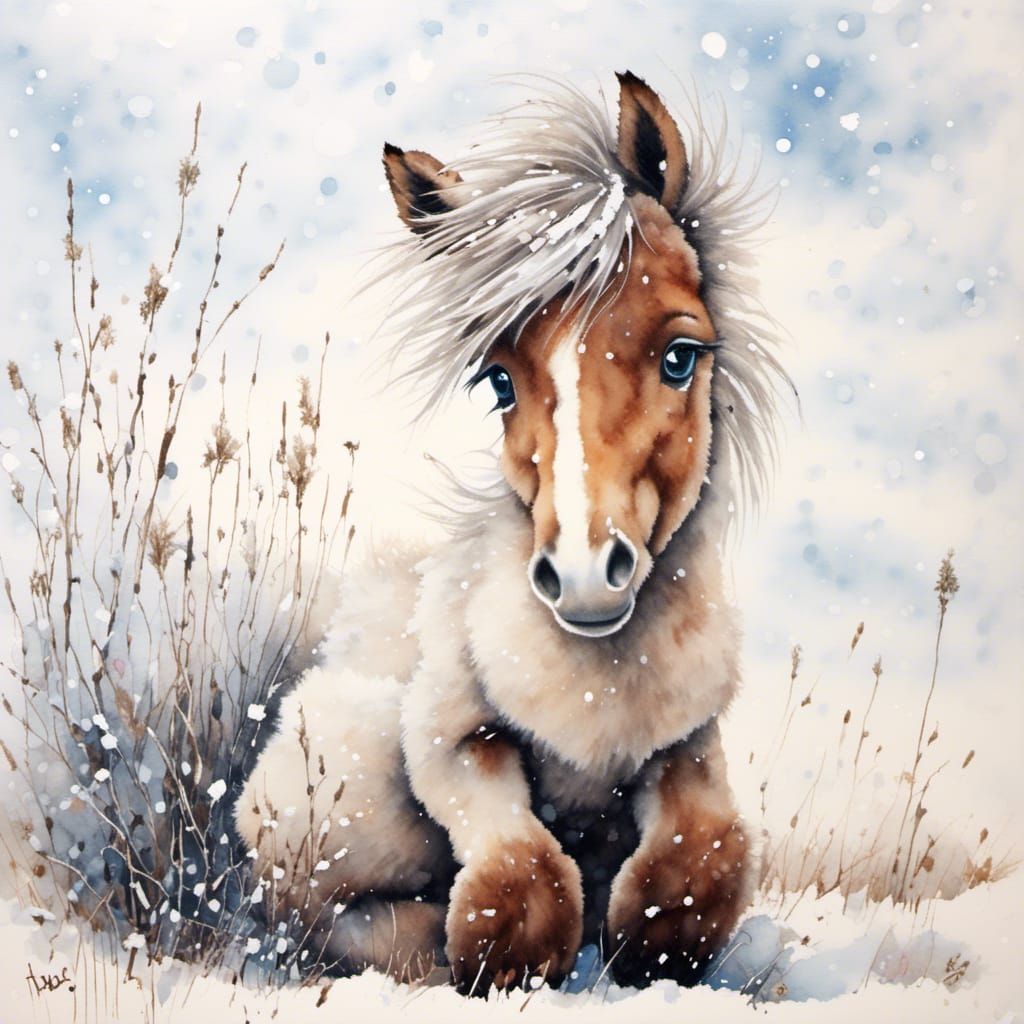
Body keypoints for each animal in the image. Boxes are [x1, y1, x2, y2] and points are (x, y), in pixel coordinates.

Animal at [234, 70, 792, 995]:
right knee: (309, 902)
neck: (603, 682)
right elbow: (525, 880)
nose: (585, 576)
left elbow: (699, 860)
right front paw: (482, 960)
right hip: (342, 782)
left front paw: (642, 949)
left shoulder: (688, 745)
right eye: (497, 381)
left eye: (681, 355)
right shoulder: (446, 741)